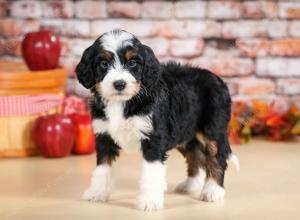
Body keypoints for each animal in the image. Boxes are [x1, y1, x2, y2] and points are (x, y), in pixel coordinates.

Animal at [75, 28, 239, 211]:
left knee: (217, 158)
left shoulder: (153, 139)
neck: (124, 102)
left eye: (132, 63)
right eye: (103, 63)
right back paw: (190, 185)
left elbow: (151, 173)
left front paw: (149, 201)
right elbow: (102, 168)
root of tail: (219, 80)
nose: (119, 84)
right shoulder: (104, 137)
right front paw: (97, 193)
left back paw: (213, 190)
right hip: (185, 133)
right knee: (195, 155)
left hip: (213, 129)